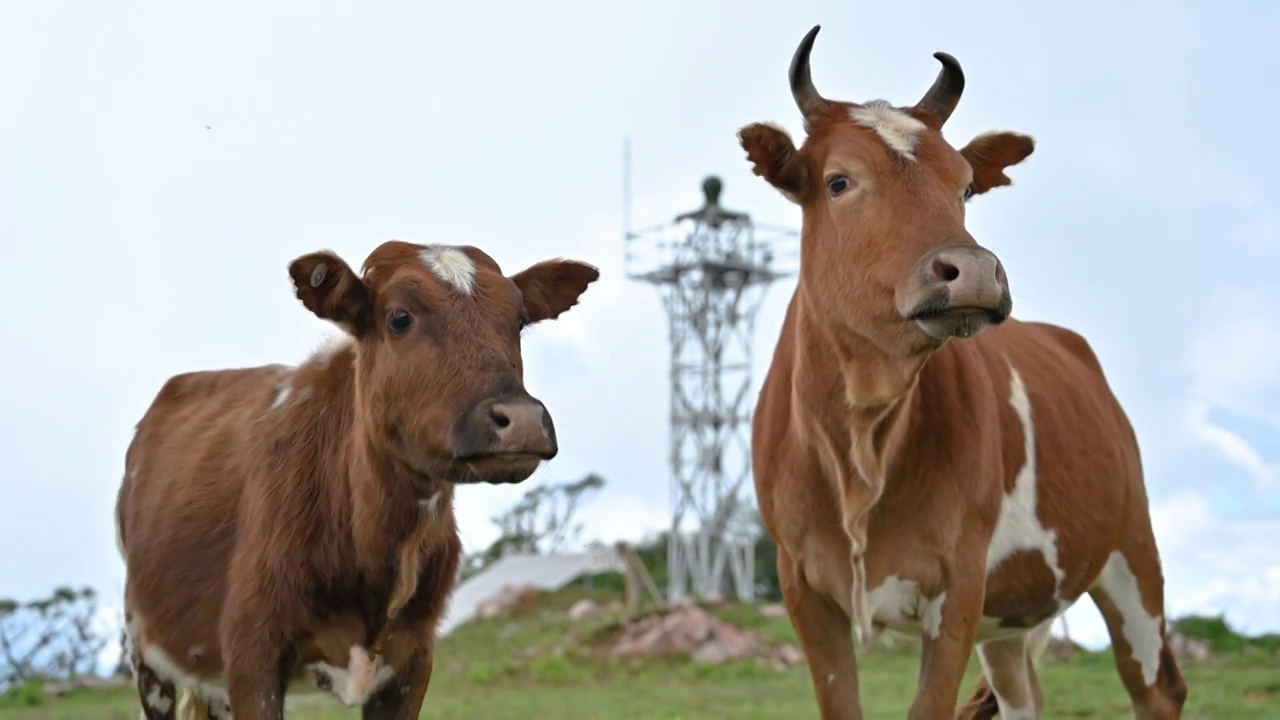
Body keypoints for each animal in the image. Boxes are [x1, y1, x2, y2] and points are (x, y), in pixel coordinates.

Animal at [117, 240, 596, 717]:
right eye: (399, 317)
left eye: (519, 319)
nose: (522, 421)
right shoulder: (252, 656)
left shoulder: (412, 661)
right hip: (148, 654)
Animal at [742, 23, 1187, 717]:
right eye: (839, 181)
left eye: (965, 186)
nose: (975, 270)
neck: (861, 439)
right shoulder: (802, 585)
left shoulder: (959, 583)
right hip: (1013, 621)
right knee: (1022, 694)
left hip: (1132, 554)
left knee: (1157, 687)